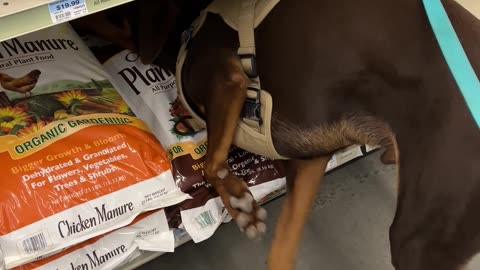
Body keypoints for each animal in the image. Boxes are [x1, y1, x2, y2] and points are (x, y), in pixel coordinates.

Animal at [77, 0, 480, 268]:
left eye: (111, 13)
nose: (81, 28)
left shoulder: (228, 79)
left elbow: (211, 163)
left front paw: (240, 204)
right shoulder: (309, 159)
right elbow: (281, 251)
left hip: (419, 238)